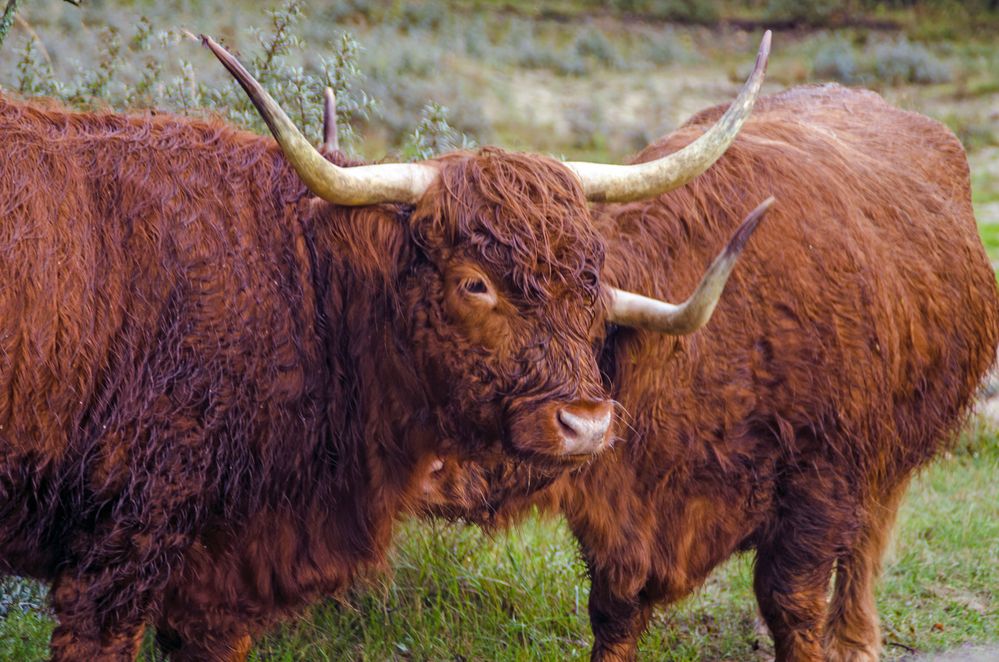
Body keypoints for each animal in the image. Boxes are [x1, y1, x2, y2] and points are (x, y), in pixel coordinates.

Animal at [0, 29, 772, 660]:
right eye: (473, 283)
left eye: (591, 276)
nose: (585, 424)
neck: (303, 290)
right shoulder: (116, 554)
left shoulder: (218, 583)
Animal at [422, 84, 999, 662]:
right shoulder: (618, 519)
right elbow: (614, 610)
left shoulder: (822, 482)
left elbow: (792, 602)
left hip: (890, 453)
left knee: (866, 545)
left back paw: (853, 641)